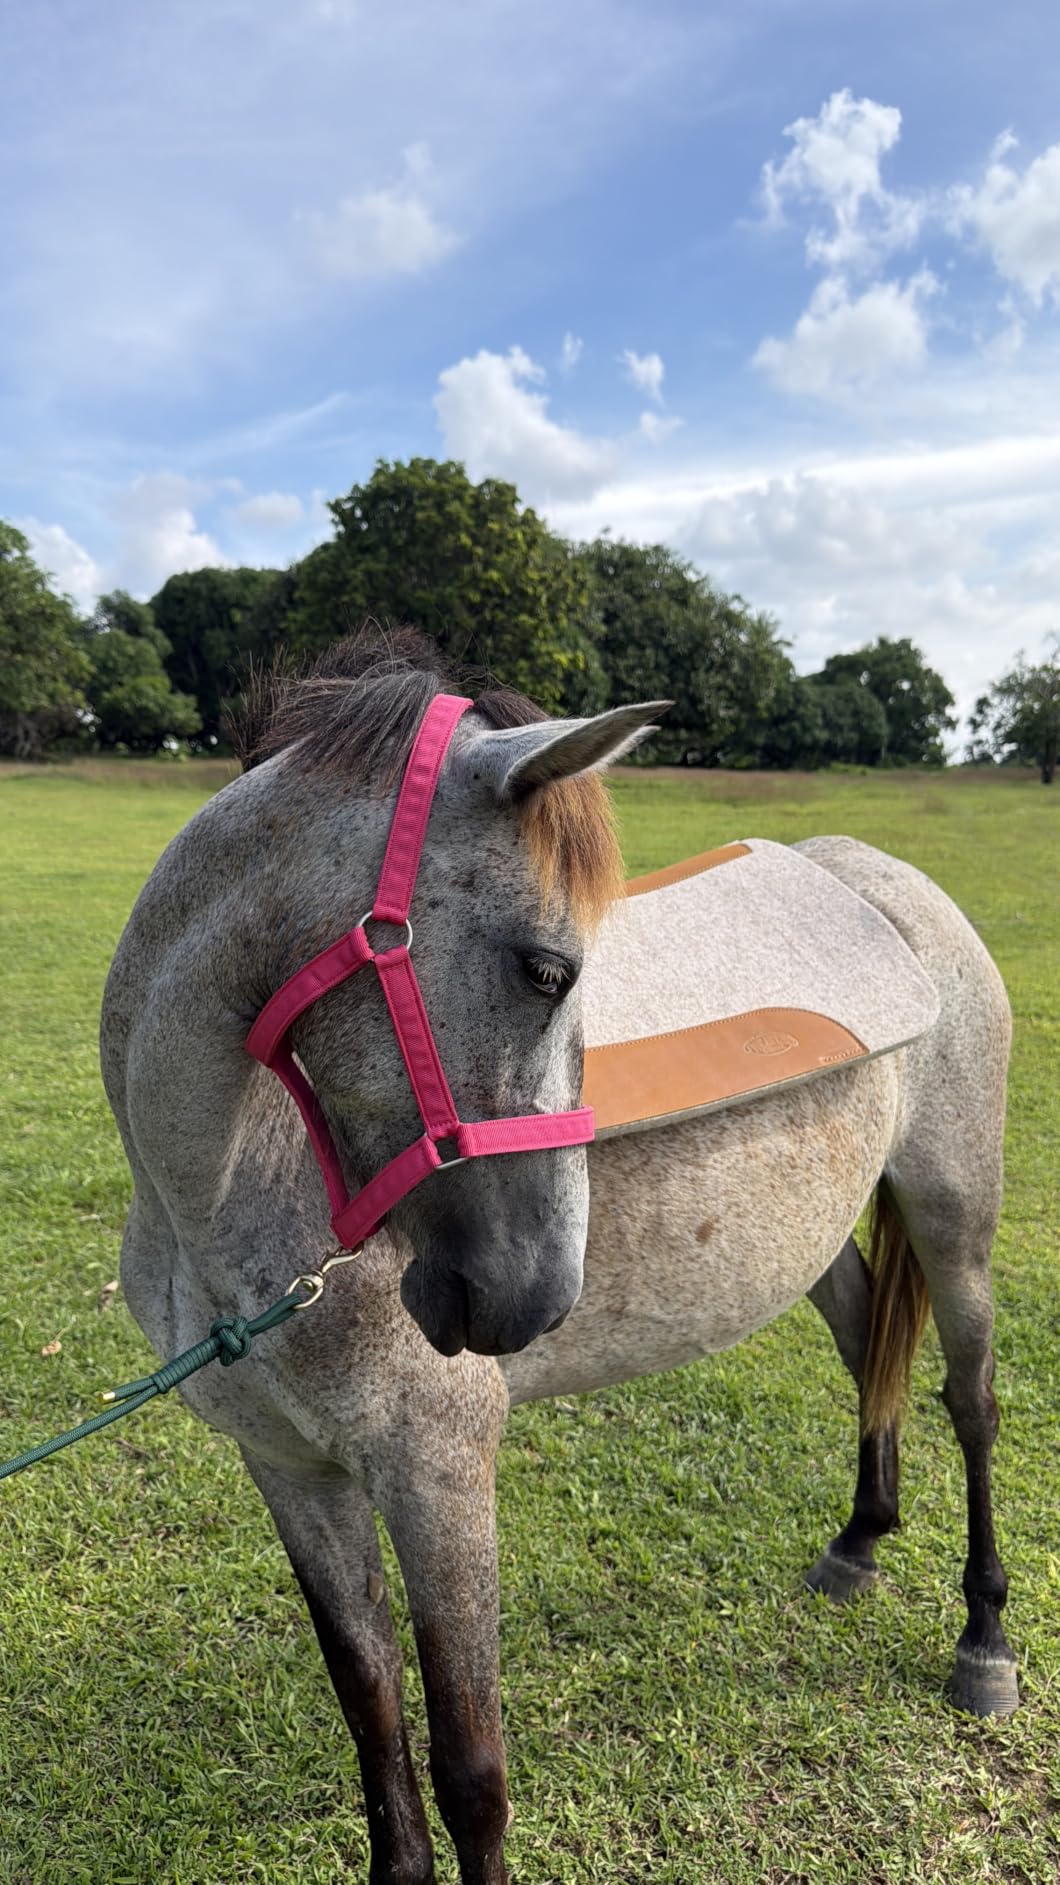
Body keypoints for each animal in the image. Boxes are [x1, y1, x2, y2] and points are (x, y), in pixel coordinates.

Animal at [100, 633, 1018, 1885]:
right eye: (545, 969)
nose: (529, 1295)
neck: (227, 1193)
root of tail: (884, 880)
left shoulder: (437, 1470)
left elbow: (471, 1772)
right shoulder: (292, 1472)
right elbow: (369, 1707)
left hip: (953, 1210)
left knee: (968, 1401)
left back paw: (984, 1639)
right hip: (817, 1236)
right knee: (866, 1352)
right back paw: (856, 1544)